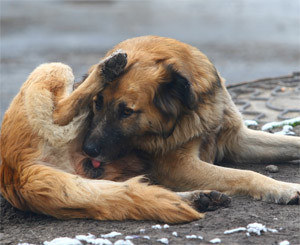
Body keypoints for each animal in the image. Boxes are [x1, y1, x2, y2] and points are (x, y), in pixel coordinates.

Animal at [0, 49, 230, 222]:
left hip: (99, 182)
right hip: (54, 67)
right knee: (59, 112)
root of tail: (16, 173)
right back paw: (107, 68)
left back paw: (199, 198)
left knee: (134, 189)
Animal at [82, 36, 300, 205]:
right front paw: (285, 188)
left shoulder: (235, 139)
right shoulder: (179, 165)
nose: (88, 149)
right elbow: (245, 174)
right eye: (97, 103)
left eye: (127, 112)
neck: (191, 109)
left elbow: (292, 142)